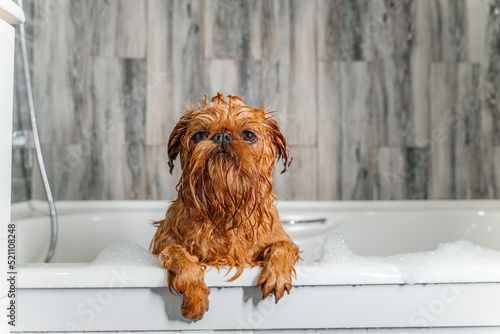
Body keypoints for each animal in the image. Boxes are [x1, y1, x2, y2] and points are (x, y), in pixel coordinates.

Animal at [151, 93, 300, 320]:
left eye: (248, 135)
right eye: (199, 135)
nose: (222, 136)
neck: (225, 209)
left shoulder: (281, 239)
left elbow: (282, 247)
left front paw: (276, 275)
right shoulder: (165, 242)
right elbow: (179, 254)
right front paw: (195, 294)